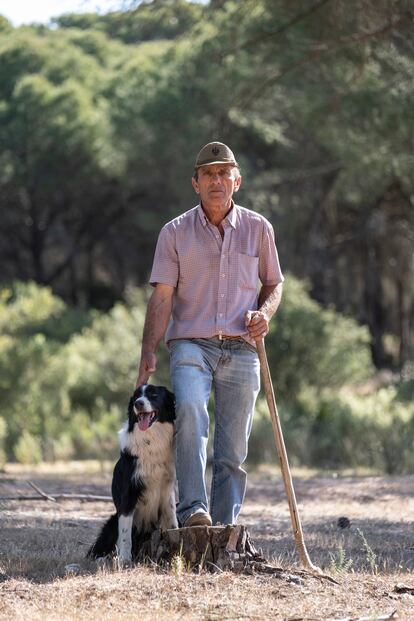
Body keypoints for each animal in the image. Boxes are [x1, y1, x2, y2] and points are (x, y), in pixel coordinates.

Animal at [86, 382, 177, 560]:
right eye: (136, 397)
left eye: (154, 395)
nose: (138, 404)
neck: (150, 442)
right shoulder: (128, 494)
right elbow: (125, 533)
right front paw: (124, 559)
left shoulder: (167, 490)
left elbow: (172, 521)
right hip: (112, 522)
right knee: (96, 550)